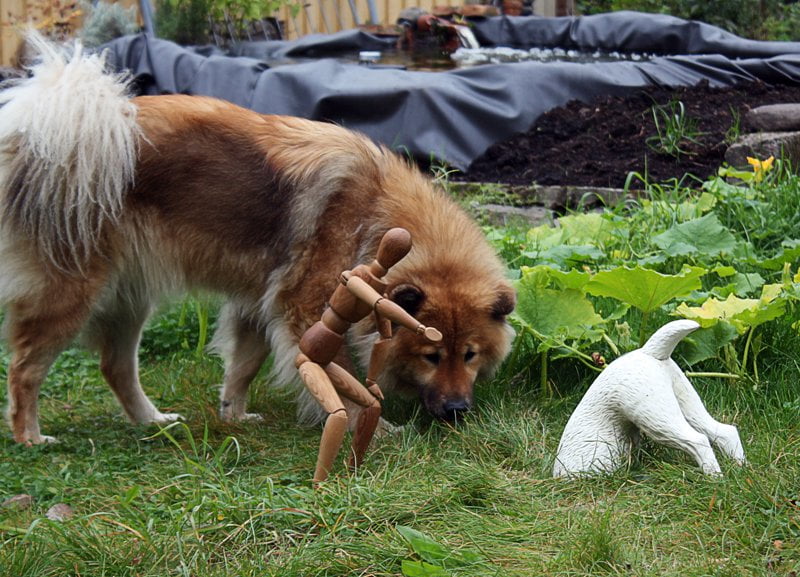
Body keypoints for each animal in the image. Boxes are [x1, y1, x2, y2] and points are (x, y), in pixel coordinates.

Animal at [0, 34, 515, 445]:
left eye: (469, 355)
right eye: (431, 356)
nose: (458, 411)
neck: (376, 214)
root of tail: (32, 135)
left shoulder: (257, 304)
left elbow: (243, 365)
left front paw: (234, 415)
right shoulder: (307, 308)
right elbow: (341, 378)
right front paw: (374, 427)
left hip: (129, 297)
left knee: (116, 366)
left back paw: (153, 421)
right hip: (70, 294)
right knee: (24, 369)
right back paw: (31, 437)